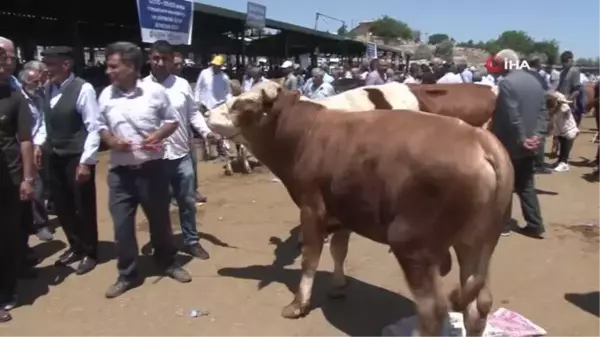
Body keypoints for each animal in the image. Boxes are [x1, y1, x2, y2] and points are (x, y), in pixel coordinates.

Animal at [227, 88, 512, 334]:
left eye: (242, 105)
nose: (214, 110)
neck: (305, 134)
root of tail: (480, 140)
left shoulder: (311, 207)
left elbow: (310, 257)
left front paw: (298, 304)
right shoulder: (342, 210)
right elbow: (338, 250)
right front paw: (338, 286)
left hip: (412, 244)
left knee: (434, 310)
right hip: (477, 243)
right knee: (478, 305)